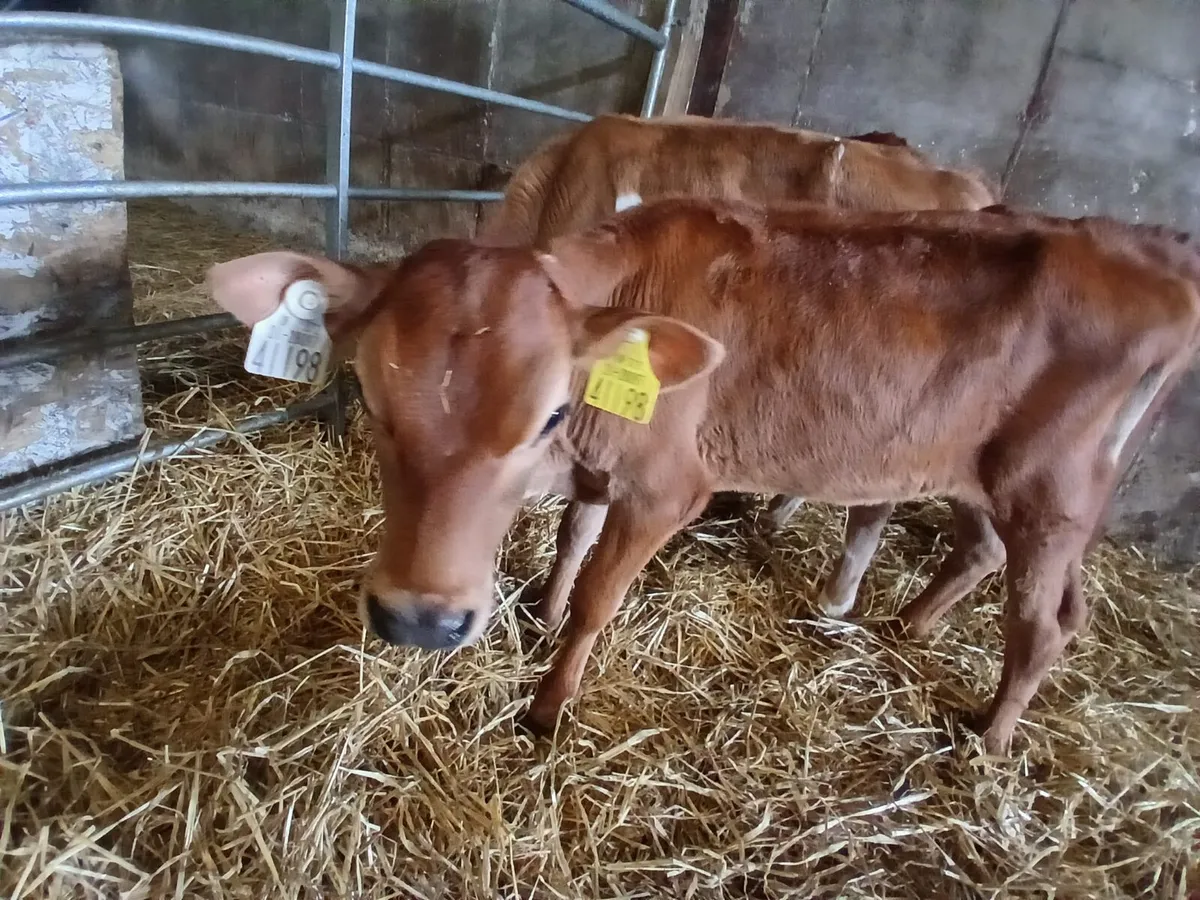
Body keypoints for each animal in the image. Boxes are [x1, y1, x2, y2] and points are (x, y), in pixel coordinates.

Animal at [206, 197, 1199, 756]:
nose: (419, 619)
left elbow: (602, 593)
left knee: (1046, 622)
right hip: (987, 475)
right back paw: (910, 627)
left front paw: (549, 704)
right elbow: (571, 539)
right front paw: (544, 610)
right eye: (370, 399)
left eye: (550, 414)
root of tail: (1154, 253)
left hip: (1054, 490)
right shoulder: (603, 476)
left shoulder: (668, 487)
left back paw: (988, 739)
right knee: (993, 561)